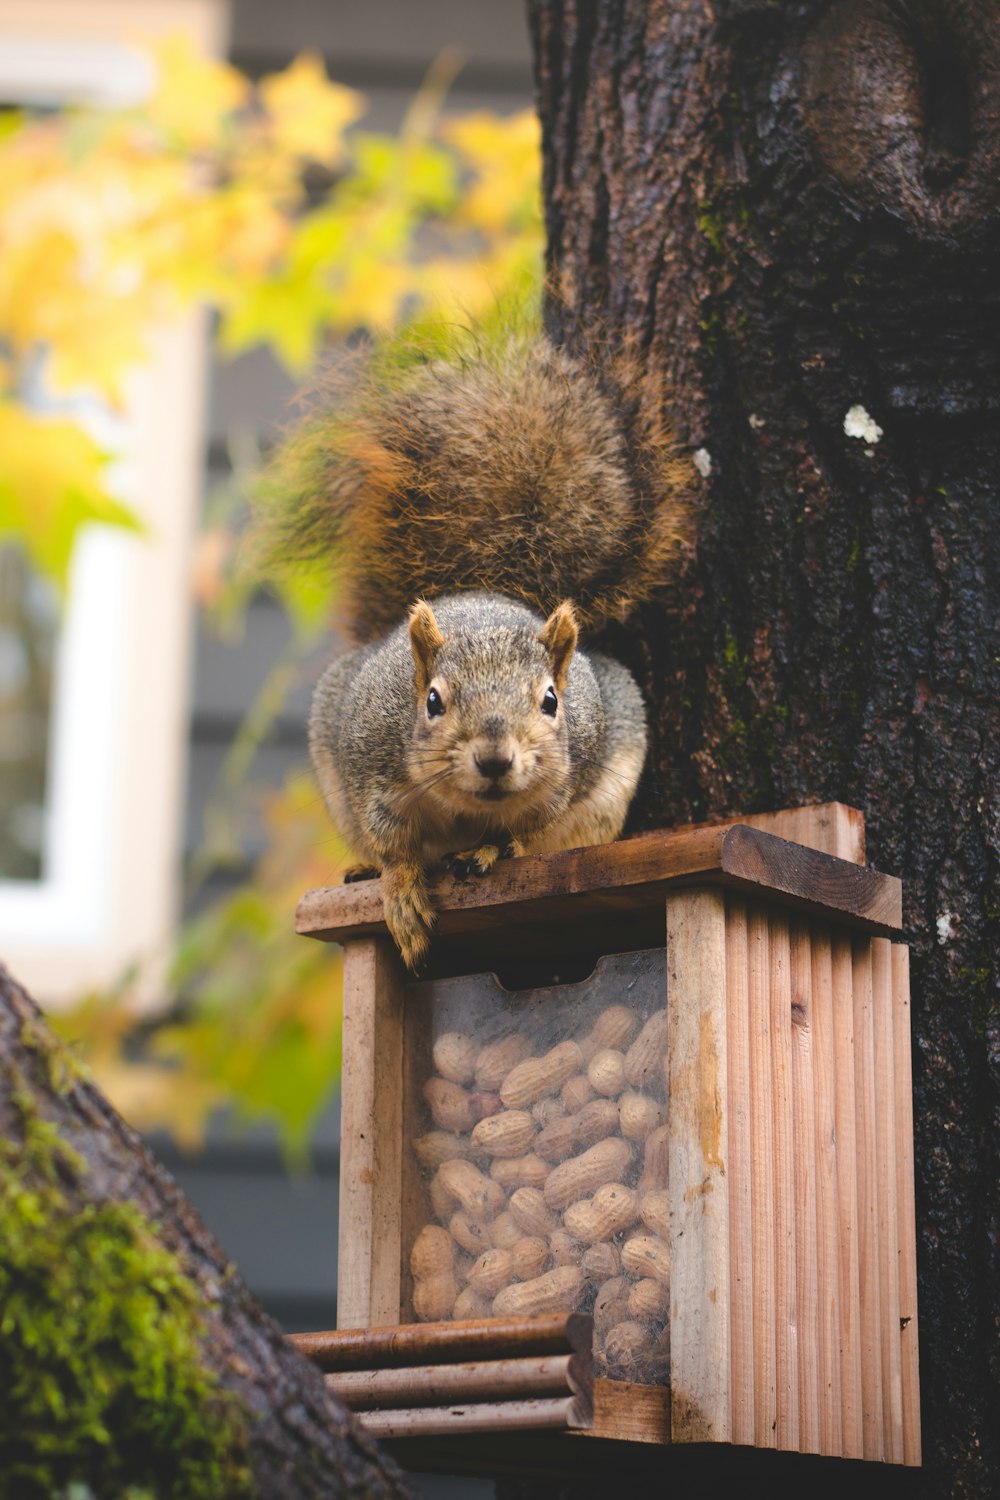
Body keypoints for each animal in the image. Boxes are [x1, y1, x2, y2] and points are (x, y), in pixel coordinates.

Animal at [265, 333, 692, 966]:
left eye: (550, 701)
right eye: (432, 702)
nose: (494, 759)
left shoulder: (559, 787)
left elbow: (522, 835)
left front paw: (490, 851)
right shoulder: (372, 773)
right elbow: (394, 846)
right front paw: (402, 892)